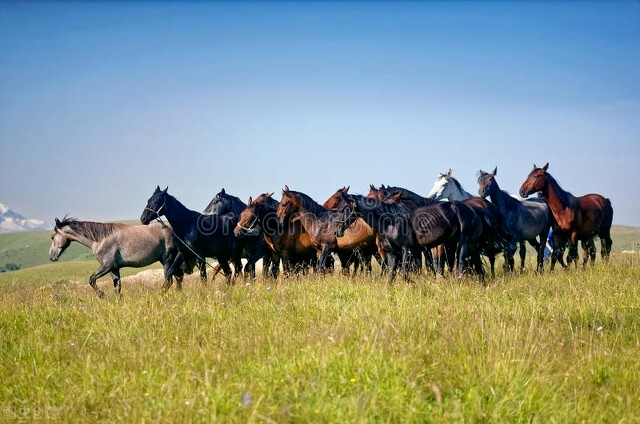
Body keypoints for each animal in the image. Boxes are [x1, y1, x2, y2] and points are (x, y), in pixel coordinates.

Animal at [49, 219, 185, 298]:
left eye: (52, 237)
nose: (51, 256)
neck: (100, 240)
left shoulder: (107, 266)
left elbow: (92, 279)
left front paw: (103, 296)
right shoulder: (114, 269)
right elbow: (117, 287)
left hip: (167, 260)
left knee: (169, 280)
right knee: (178, 278)